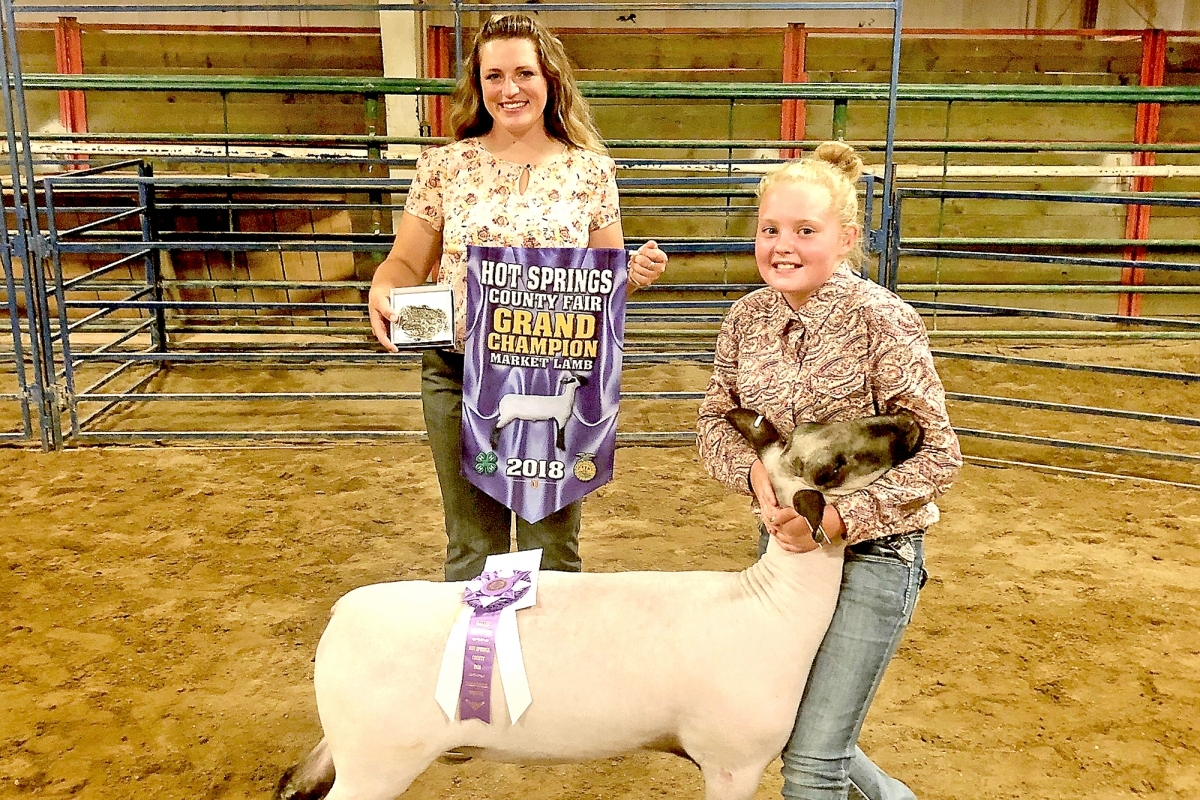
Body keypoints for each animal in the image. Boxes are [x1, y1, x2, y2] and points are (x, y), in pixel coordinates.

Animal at [278, 410, 916, 796]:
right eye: (830, 468)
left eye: (823, 417)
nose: (907, 421)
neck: (773, 604)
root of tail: (342, 614)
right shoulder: (732, 762)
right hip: (376, 763)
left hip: (348, 747)